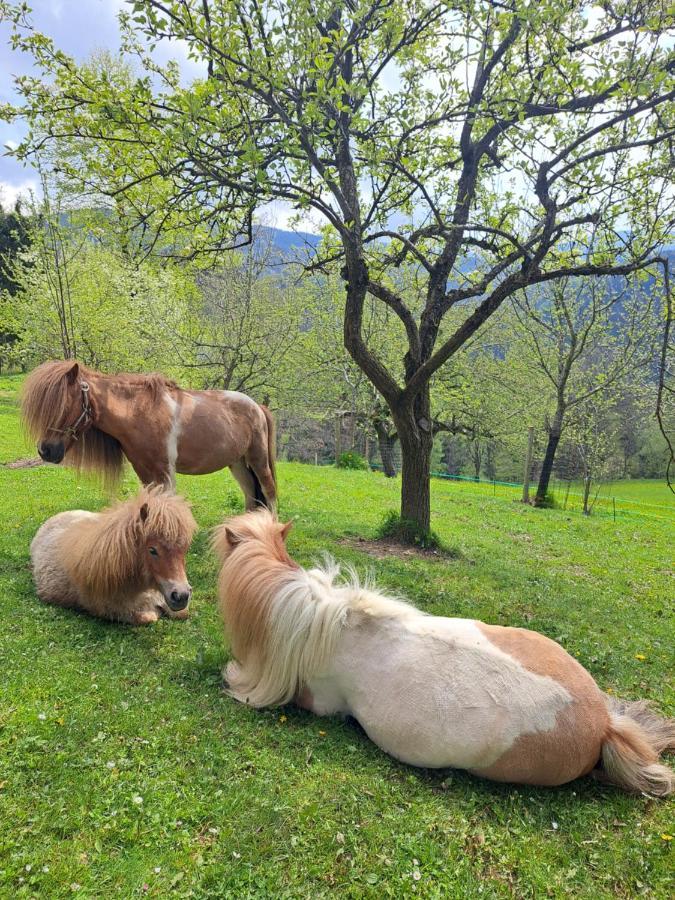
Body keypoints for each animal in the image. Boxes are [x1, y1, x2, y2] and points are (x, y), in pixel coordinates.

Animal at [19, 360, 278, 512]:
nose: (45, 450)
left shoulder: (164, 471)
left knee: (269, 491)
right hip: (238, 464)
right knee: (250, 496)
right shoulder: (143, 471)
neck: (142, 413)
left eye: (63, 406)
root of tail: (257, 407)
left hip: (257, 460)